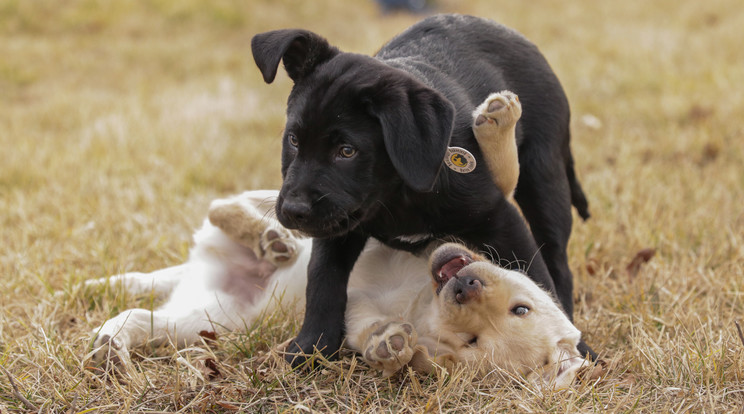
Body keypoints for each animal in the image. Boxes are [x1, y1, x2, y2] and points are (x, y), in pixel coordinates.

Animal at [253, 13, 588, 366]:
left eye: (346, 151)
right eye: (293, 140)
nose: (293, 211)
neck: (396, 196)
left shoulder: (498, 217)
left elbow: (536, 276)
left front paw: (576, 348)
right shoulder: (338, 227)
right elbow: (323, 280)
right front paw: (311, 347)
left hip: (544, 177)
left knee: (556, 260)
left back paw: (498, 120)